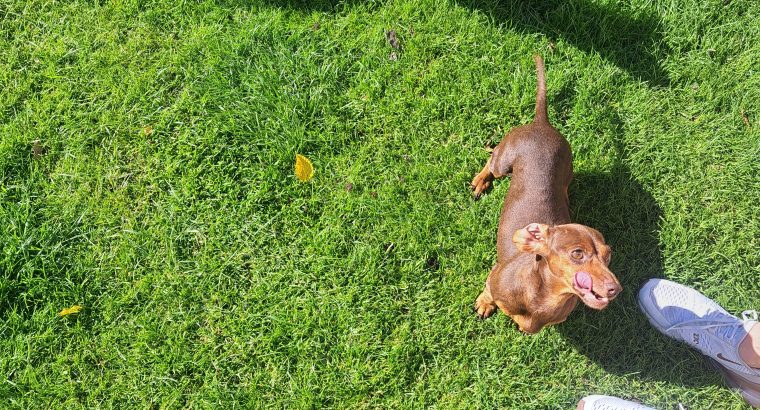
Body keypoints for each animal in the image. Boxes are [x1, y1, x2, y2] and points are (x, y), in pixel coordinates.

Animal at [470, 54, 624, 334]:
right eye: (577, 253)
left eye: (609, 256)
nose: (614, 289)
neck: (543, 300)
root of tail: (542, 123)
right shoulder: (494, 277)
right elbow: (488, 292)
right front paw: (485, 304)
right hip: (503, 162)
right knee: (491, 161)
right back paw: (480, 181)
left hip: (567, 172)